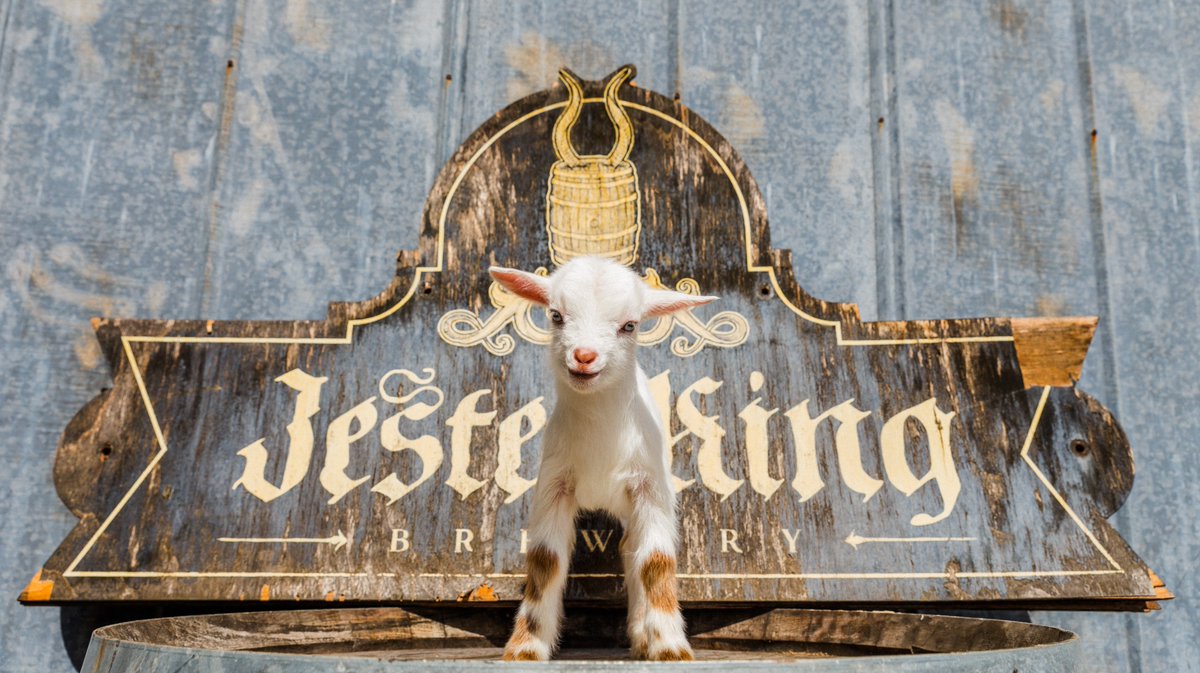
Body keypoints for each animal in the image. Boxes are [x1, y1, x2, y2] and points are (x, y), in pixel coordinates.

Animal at [489, 256, 716, 662]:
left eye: (630, 325)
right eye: (556, 315)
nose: (584, 356)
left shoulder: (650, 488)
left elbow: (656, 561)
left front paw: (671, 648)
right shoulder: (554, 483)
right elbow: (545, 560)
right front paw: (525, 648)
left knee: (634, 553)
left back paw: (643, 636)